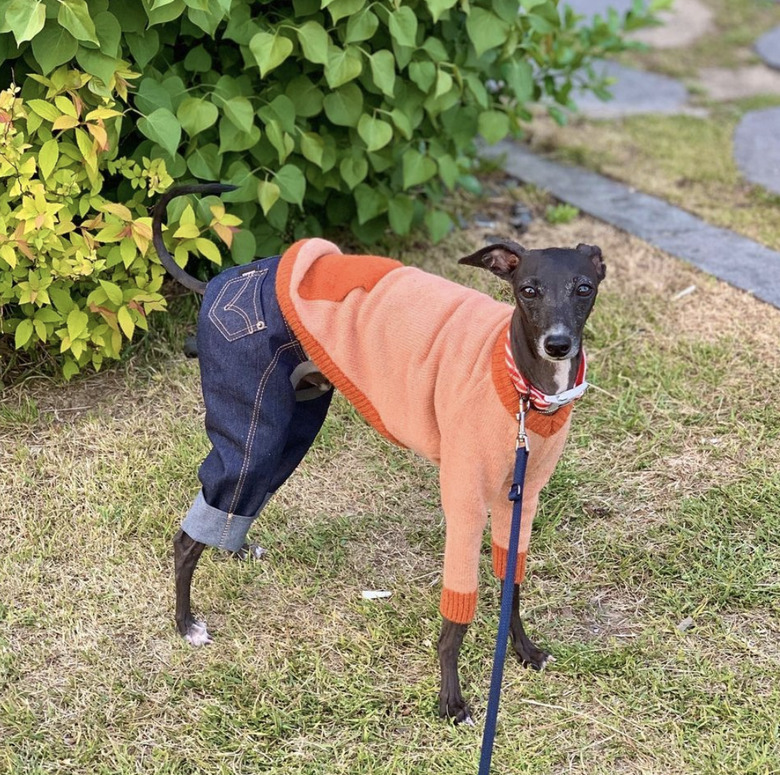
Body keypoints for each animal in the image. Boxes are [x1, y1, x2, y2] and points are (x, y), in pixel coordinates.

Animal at [151, 183, 604, 728]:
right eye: (528, 290)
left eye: (584, 288)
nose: (558, 344)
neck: (520, 386)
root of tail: (219, 281)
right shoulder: (466, 502)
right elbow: (456, 617)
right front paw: (451, 700)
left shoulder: (522, 499)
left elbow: (511, 584)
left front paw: (525, 651)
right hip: (254, 429)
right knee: (189, 535)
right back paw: (186, 624)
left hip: (289, 431)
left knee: (234, 504)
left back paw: (233, 550)